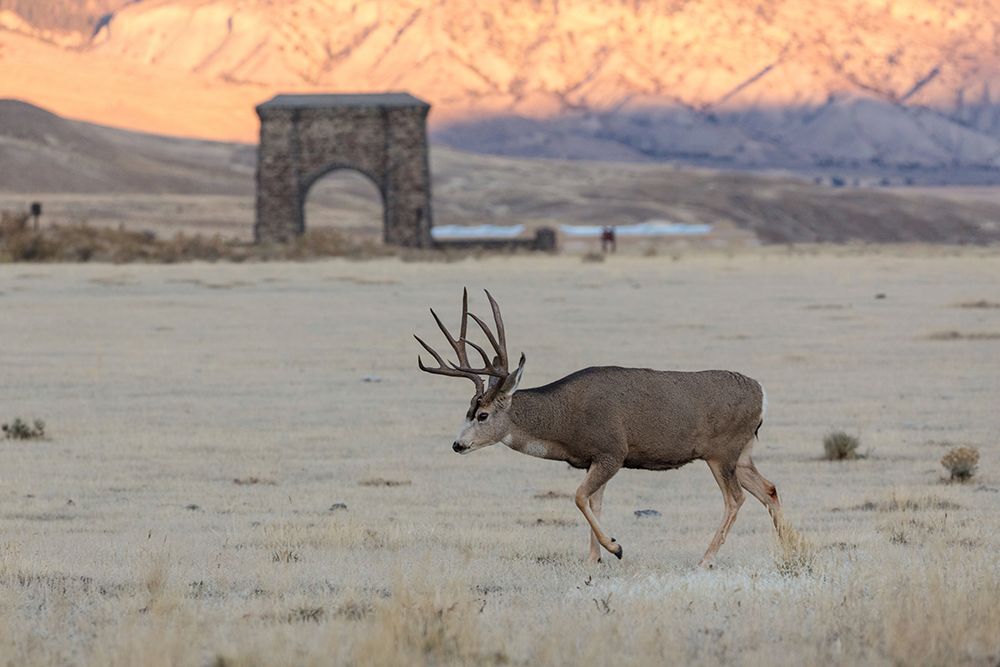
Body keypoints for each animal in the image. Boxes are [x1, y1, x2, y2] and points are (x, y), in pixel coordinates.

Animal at [414, 289, 784, 567]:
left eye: (483, 415)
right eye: (468, 410)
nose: (458, 445)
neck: (565, 419)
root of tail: (762, 393)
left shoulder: (612, 451)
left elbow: (580, 497)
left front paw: (614, 548)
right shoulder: (595, 459)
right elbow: (594, 502)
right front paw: (594, 558)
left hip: (722, 452)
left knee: (735, 498)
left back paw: (706, 559)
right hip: (742, 452)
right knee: (768, 489)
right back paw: (787, 549)